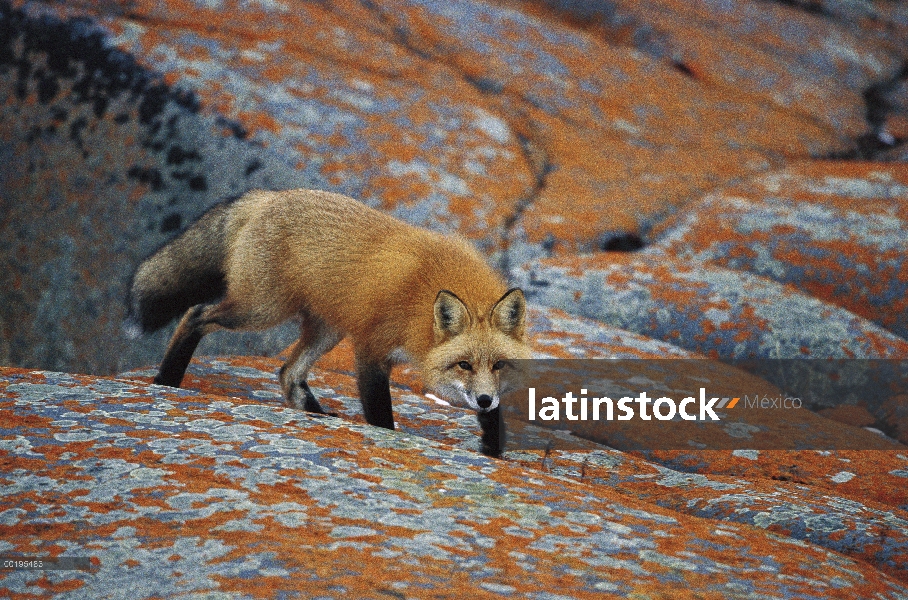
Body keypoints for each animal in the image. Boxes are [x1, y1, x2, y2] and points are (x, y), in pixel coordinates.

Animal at [124, 188, 528, 454]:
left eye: (499, 365)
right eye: (463, 365)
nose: (483, 399)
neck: (423, 300)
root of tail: (268, 196)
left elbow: (496, 417)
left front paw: (493, 449)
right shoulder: (370, 347)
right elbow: (380, 413)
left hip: (326, 330)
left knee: (288, 373)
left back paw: (319, 417)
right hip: (260, 310)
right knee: (194, 316)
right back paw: (167, 379)